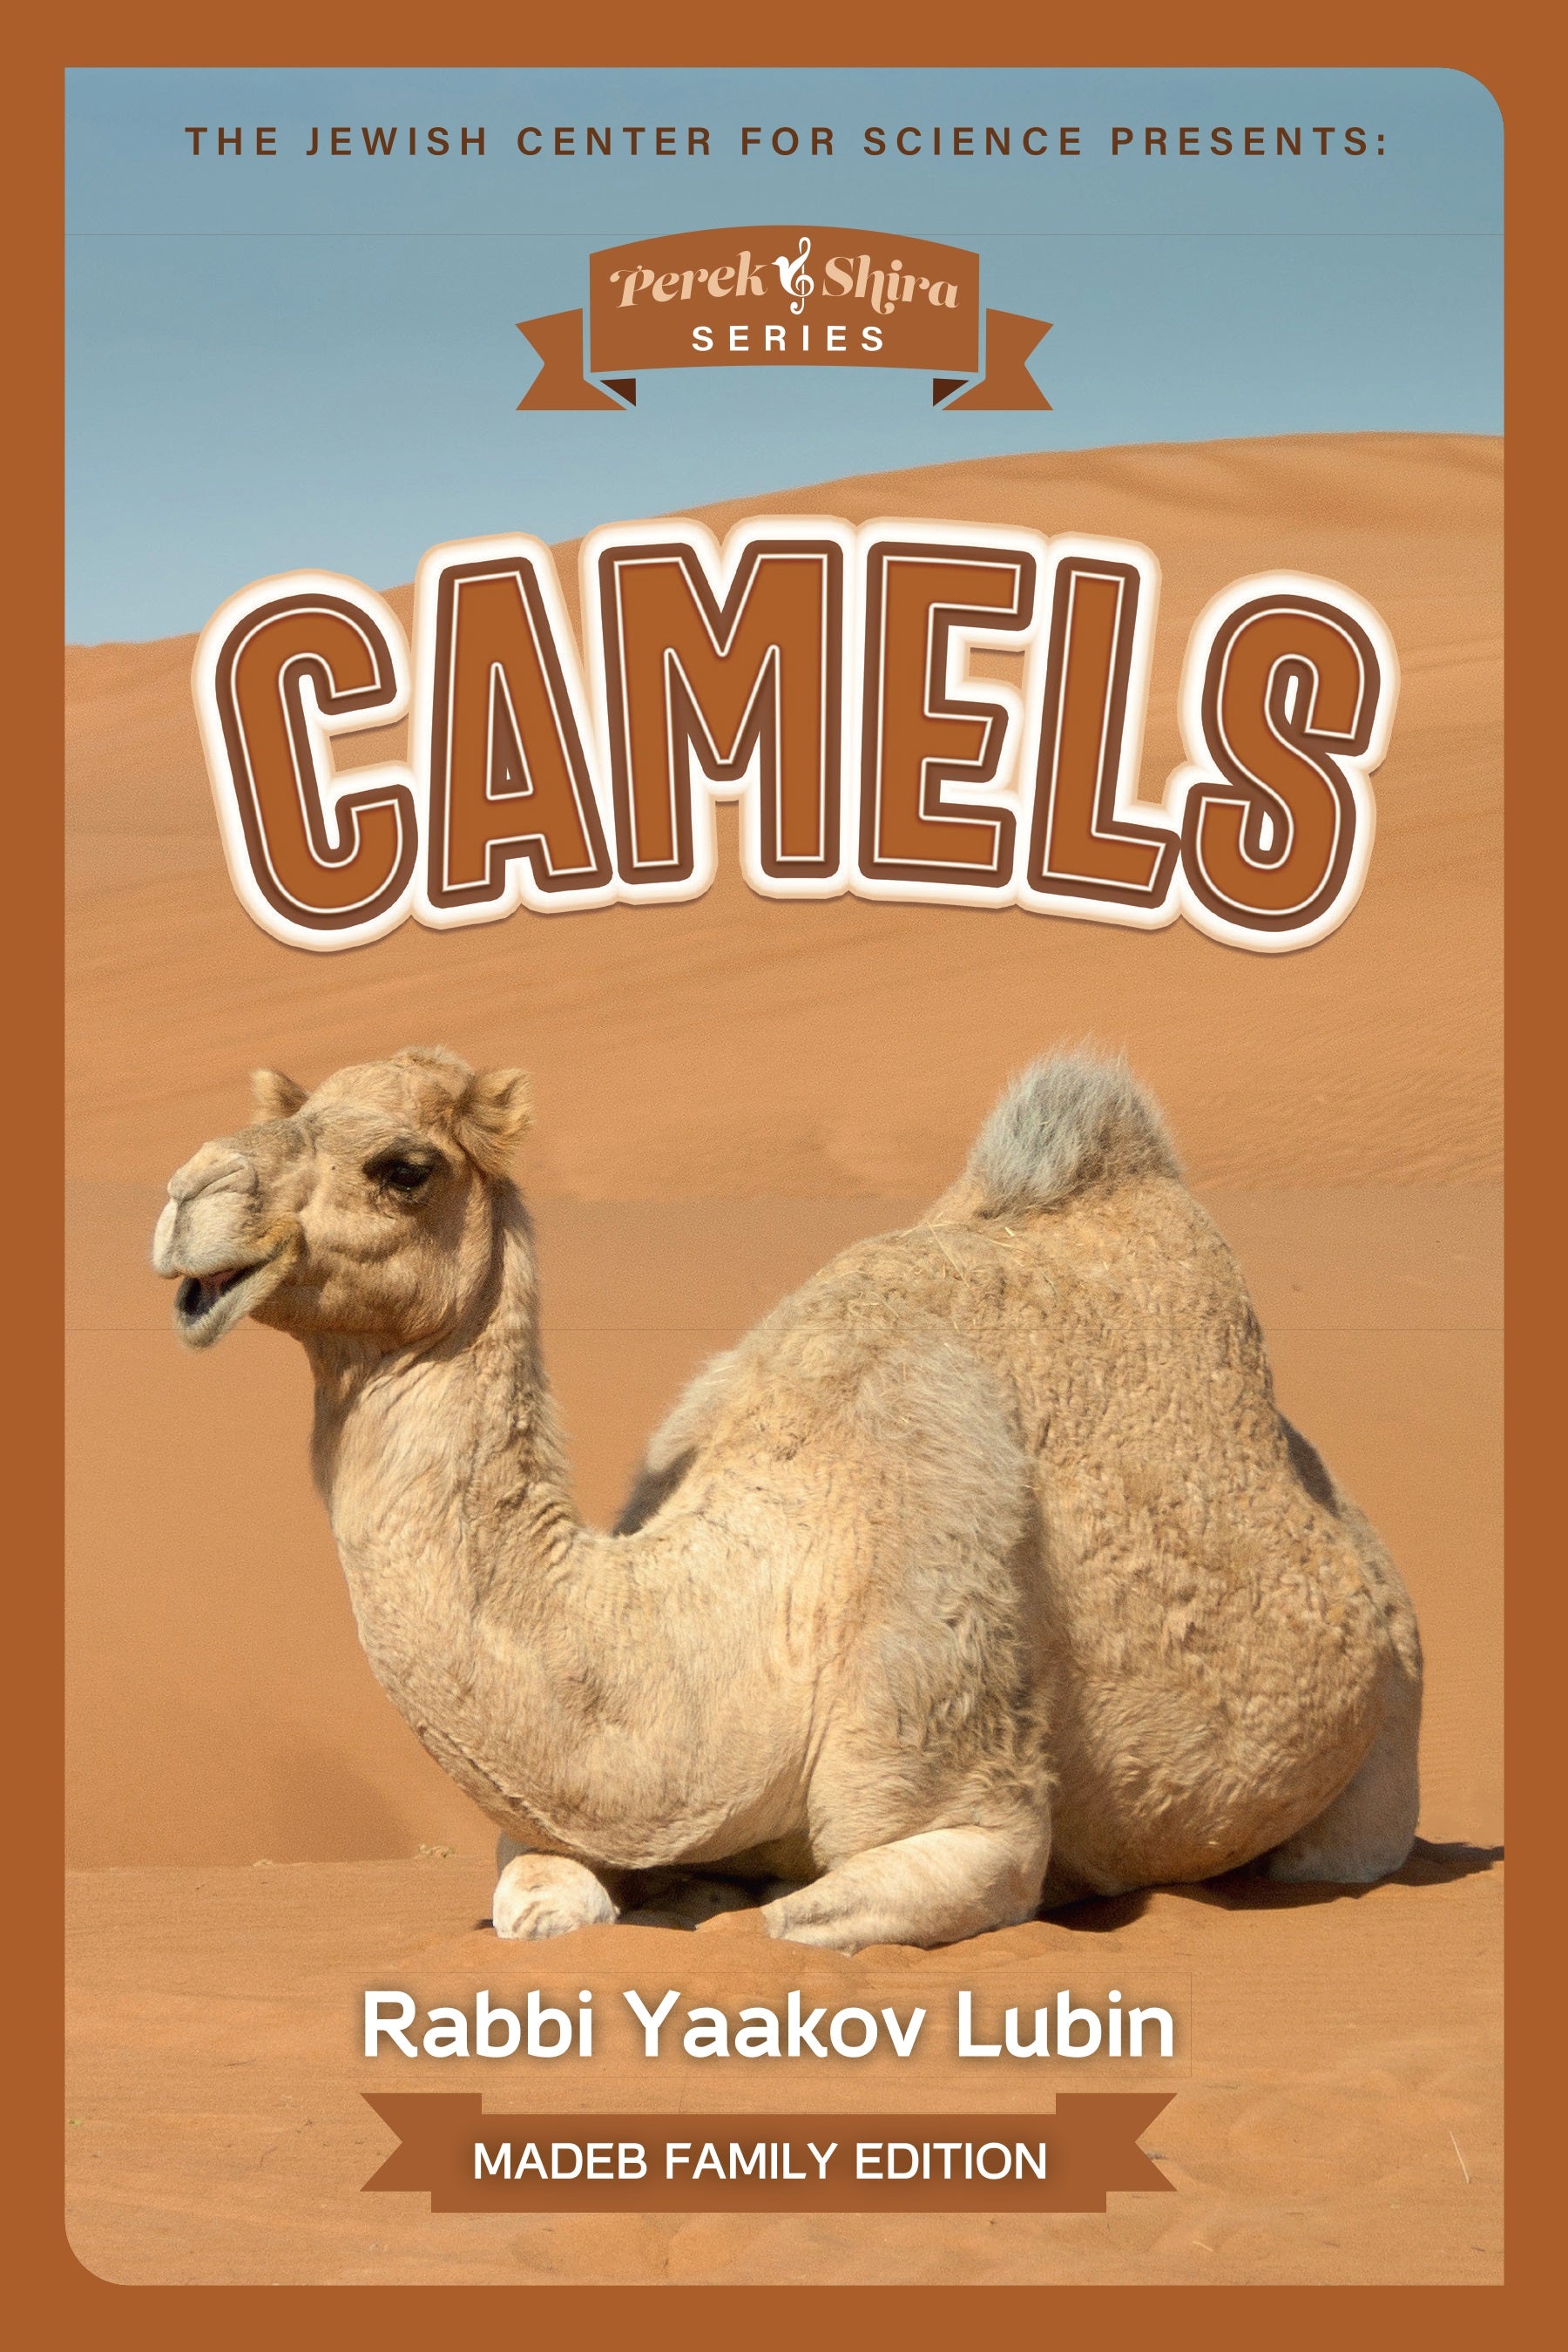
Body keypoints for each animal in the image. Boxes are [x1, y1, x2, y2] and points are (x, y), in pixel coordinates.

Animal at [152, 1047, 1422, 1953]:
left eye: (403, 1167)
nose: (183, 1197)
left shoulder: (962, 1810)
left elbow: (787, 1922)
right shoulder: (565, 1814)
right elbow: (541, 1899)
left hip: (1388, 1738)